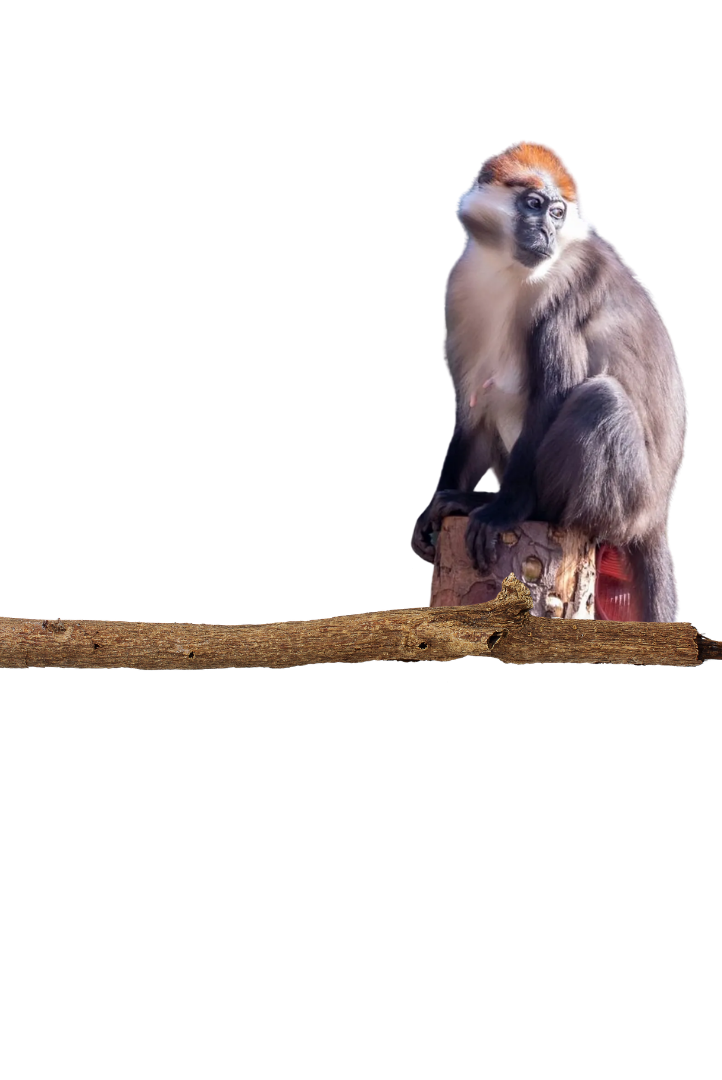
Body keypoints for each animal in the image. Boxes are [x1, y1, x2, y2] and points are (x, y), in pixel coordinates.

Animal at [410, 141, 687, 622]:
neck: (506, 269)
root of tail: (655, 518)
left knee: (601, 399)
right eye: (534, 205)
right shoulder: (459, 289)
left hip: (627, 502)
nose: (546, 231)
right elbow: (473, 412)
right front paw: (432, 510)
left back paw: (523, 507)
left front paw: (503, 511)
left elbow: (553, 395)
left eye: (558, 213)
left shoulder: (568, 288)